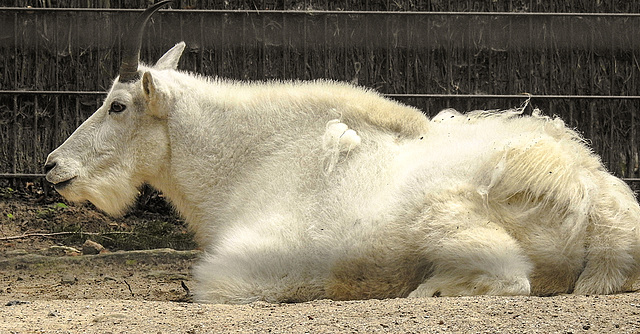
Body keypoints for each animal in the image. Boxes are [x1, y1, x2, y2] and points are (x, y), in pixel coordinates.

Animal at [45, 0, 640, 302]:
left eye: (118, 105)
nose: (53, 167)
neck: (253, 161)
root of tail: (591, 196)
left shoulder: (243, 265)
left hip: (440, 217)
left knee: (509, 279)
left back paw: (418, 289)